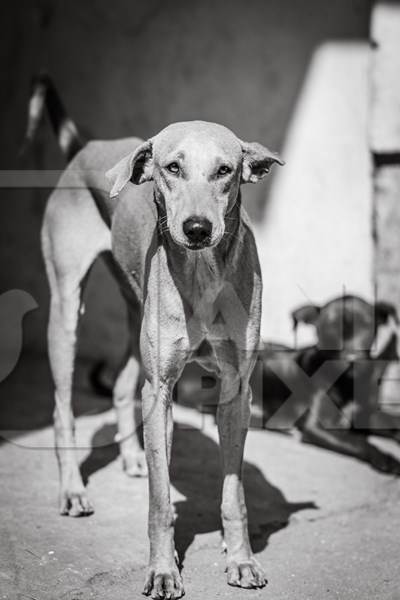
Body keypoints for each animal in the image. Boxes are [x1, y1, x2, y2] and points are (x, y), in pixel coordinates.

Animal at [25, 75, 282, 596]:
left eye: (225, 170)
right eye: (172, 167)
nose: (198, 228)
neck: (203, 274)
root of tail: (88, 146)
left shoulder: (236, 391)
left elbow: (234, 494)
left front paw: (241, 560)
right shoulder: (162, 389)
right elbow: (161, 503)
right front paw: (163, 570)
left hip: (133, 311)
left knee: (125, 386)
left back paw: (134, 456)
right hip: (65, 311)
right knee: (63, 408)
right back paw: (72, 490)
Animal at [260, 296, 400, 474]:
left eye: (366, 325)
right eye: (330, 328)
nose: (352, 360)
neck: (347, 383)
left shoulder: (366, 415)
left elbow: (393, 423)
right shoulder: (318, 427)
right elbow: (358, 442)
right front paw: (384, 458)